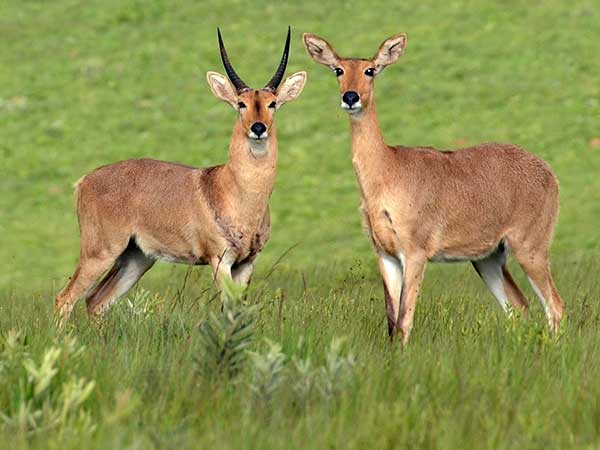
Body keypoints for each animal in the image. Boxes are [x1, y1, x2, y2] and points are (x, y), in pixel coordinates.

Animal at [54, 28, 308, 324]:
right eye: (241, 104)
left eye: (273, 103)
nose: (258, 128)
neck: (233, 191)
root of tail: (84, 180)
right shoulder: (220, 260)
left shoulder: (247, 263)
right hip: (100, 252)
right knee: (65, 298)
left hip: (136, 258)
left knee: (96, 301)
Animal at [304, 31, 564, 342]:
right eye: (338, 70)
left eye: (370, 70)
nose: (351, 97)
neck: (387, 173)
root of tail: (550, 174)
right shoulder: (384, 254)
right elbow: (391, 322)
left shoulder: (415, 251)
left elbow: (404, 321)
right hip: (488, 257)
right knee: (519, 306)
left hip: (531, 246)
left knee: (555, 305)